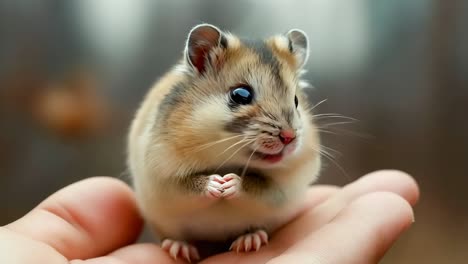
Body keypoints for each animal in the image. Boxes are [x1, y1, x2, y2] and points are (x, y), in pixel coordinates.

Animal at [126, 24, 320, 262]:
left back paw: (249, 241)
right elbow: (186, 186)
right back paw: (179, 248)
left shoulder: (285, 188)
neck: (227, 158)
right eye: (241, 94)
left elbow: (259, 187)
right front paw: (216, 184)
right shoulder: (161, 178)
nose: (289, 137)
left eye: (296, 101)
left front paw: (229, 184)